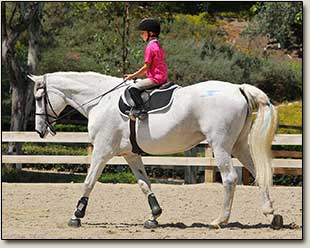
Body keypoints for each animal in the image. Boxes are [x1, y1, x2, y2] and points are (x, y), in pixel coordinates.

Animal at [29, 71, 278, 229]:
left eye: (39, 98)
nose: (39, 130)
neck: (101, 101)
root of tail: (238, 89)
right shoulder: (130, 155)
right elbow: (144, 184)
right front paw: (154, 216)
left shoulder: (102, 151)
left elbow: (88, 182)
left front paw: (76, 216)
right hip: (239, 145)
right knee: (258, 174)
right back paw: (271, 214)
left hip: (221, 146)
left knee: (229, 179)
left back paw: (220, 220)